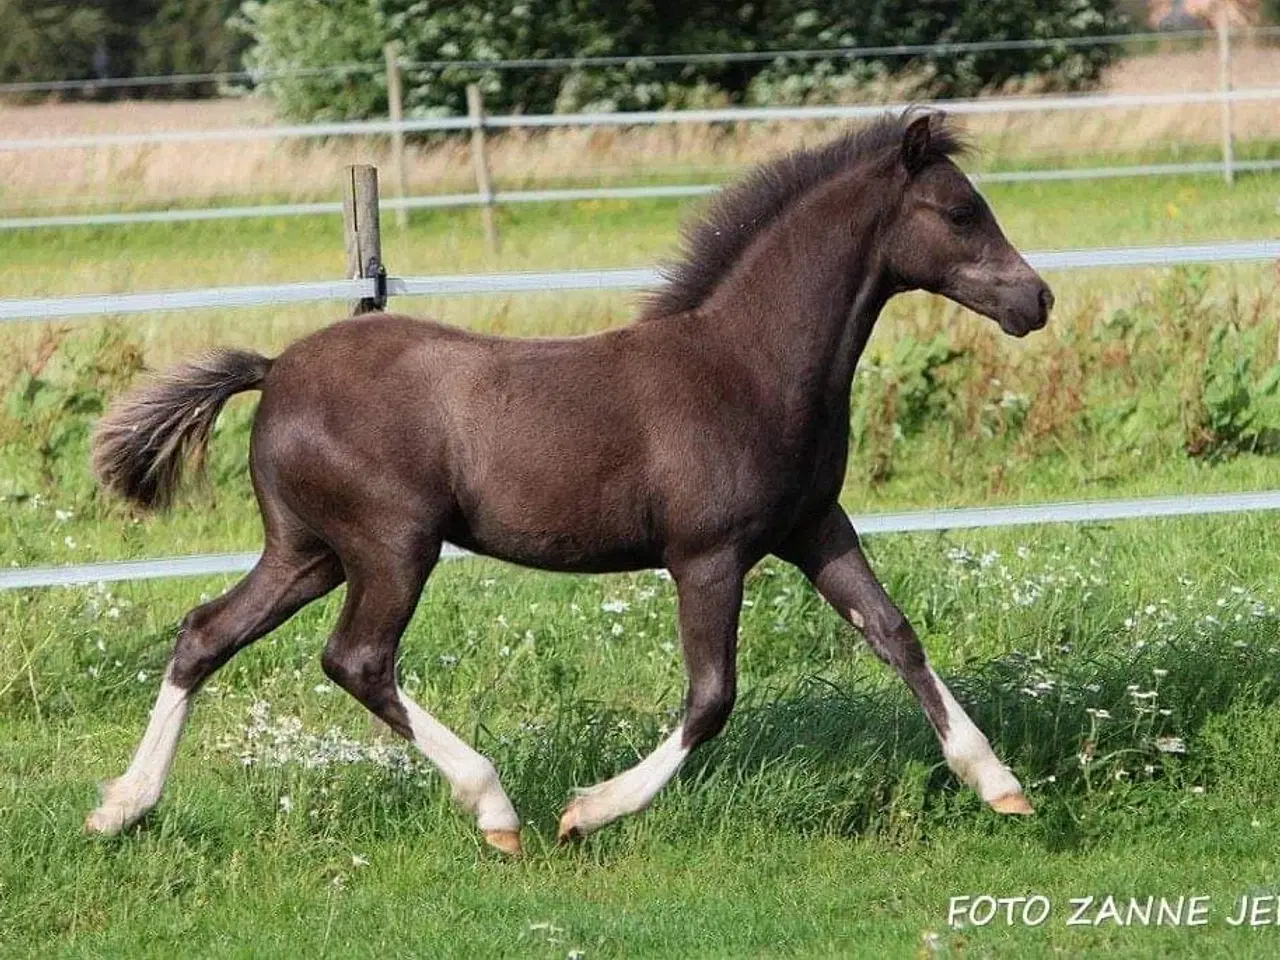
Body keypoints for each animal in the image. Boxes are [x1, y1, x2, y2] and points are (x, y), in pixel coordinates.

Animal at [87, 108, 1049, 855]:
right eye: (960, 211)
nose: (1035, 300)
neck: (747, 365)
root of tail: (276, 368)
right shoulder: (708, 556)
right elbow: (712, 698)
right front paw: (588, 813)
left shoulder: (815, 528)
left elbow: (895, 634)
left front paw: (1000, 784)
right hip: (392, 546)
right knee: (356, 658)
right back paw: (495, 810)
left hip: (309, 551)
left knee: (205, 633)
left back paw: (123, 808)